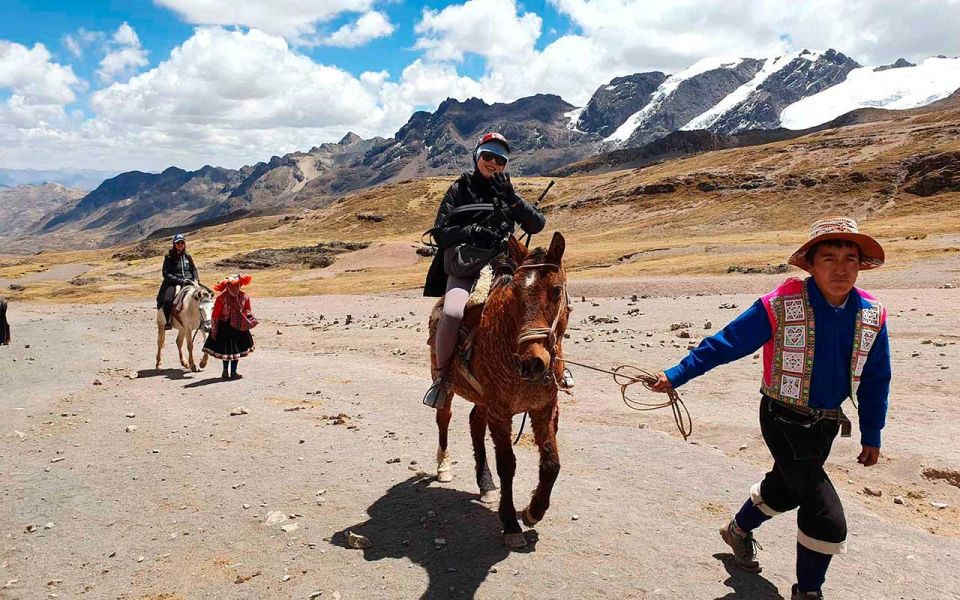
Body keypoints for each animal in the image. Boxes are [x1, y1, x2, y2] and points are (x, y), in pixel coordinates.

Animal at [430, 232, 568, 552]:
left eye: (556, 290)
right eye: (515, 293)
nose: (532, 362)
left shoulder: (543, 408)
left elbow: (551, 464)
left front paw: (533, 511)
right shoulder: (501, 412)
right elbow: (507, 464)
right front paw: (510, 524)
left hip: (484, 400)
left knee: (474, 422)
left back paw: (486, 485)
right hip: (449, 386)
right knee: (444, 419)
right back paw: (444, 466)